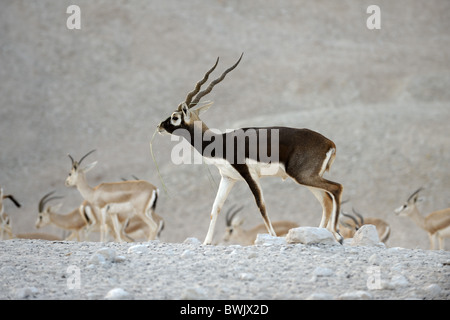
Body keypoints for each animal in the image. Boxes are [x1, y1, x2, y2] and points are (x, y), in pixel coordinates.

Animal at [156, 54, 342, 245]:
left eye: (175, 117)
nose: (160, 126)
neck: (220, 141)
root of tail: (330, 143)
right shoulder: (228, 177)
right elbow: (215, 208)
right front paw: (206, 242)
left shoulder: (249, 174)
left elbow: (261, 205)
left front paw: (273, 237)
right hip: (306, 178)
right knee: (326, 200)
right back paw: (321, 232)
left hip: (303, 176)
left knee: (336, 188)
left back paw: (337, 235)